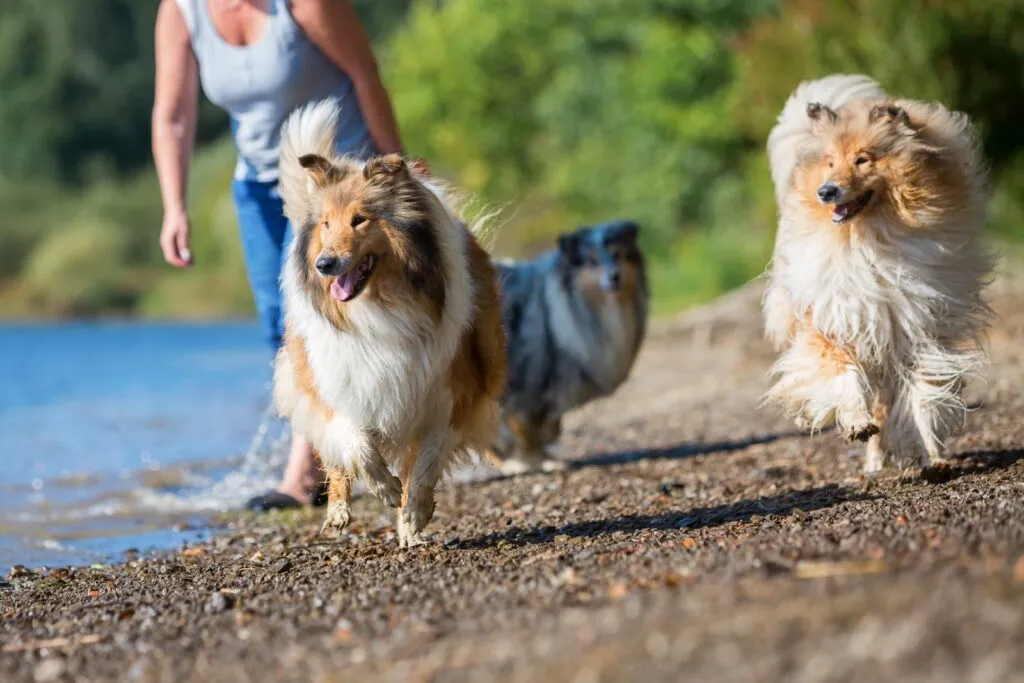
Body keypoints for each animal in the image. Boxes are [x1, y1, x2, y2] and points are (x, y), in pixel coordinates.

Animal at [272, 101, 503, 548]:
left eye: (360, 220)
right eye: (326, 223)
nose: (324, 264)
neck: (380, 306)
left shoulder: (446, 393)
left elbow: (425, 465)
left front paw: (411, 515)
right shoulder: (341, 380)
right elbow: (357, 445)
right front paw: (384, 487)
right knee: (336, 456)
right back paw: (338, 511)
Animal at [487, 222, 647, 473]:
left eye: (617, 255)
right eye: (591, 261)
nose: (614, 276)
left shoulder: (554, 390)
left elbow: (549, 426)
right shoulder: (529, 382)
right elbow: (526, 427)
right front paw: (529, 461)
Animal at [765, 72, 995, 473]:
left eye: (862, 160)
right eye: (829, 162)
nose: (826, 192)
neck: (869, 239)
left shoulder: (919, 332)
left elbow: (923, 395)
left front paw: (929, 450)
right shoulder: (832, 320)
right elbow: (839, 374)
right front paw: (855, 421)